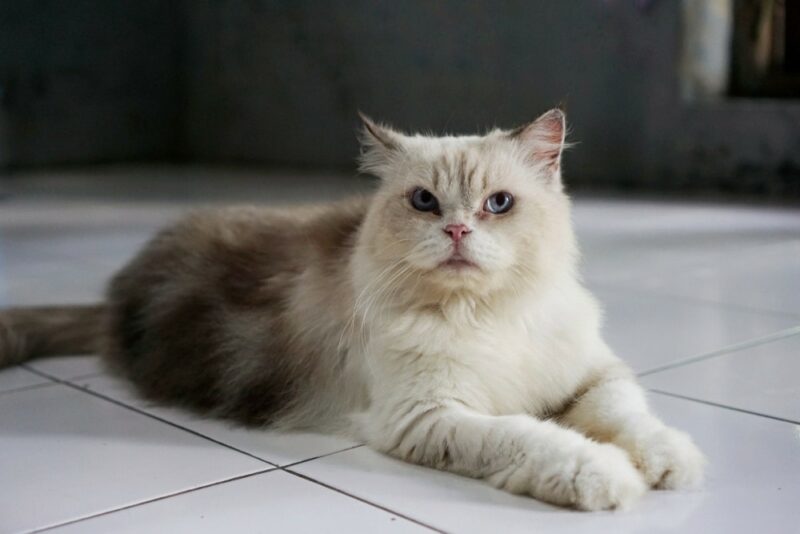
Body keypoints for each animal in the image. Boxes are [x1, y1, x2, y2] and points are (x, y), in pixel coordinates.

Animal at [0, 110, 700, 516]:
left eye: (498, 204)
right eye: (424, 202)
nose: (456, 232)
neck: (482, 315)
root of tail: (115, 294)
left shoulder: (591, 374)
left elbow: (629, 417)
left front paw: (670, 463)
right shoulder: (429, 416)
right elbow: (535, 438)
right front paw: (604, 476)